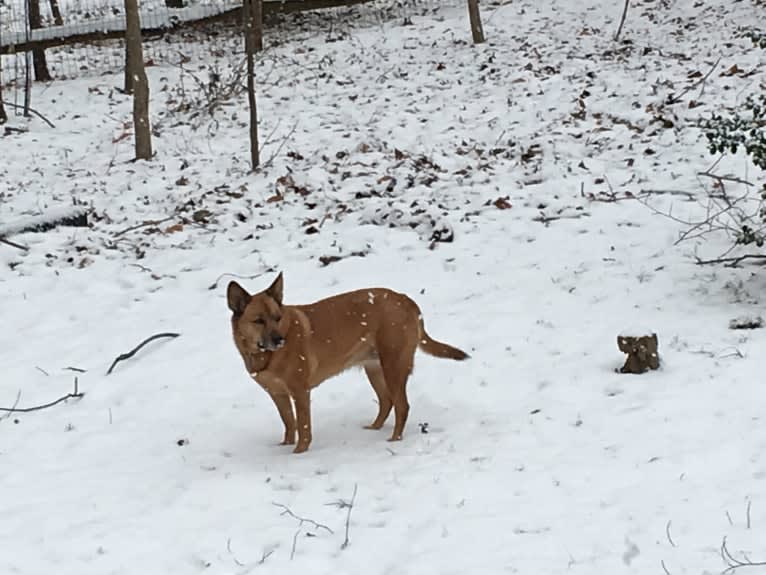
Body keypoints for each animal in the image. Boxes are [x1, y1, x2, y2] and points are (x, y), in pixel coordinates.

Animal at [225, 274, 472, 454]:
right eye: (258, 320)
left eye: (277, 318)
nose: (279, 340)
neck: (263, 354)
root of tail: (406, 300)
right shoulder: (278, 394)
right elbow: (288, 422)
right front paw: (285, 446)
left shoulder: (300, 391)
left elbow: (303, 426)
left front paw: (299, 453)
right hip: (374, 368)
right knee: (387, 401)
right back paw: (374, 428)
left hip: (394, 365)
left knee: (402, 405)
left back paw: (394, 439)